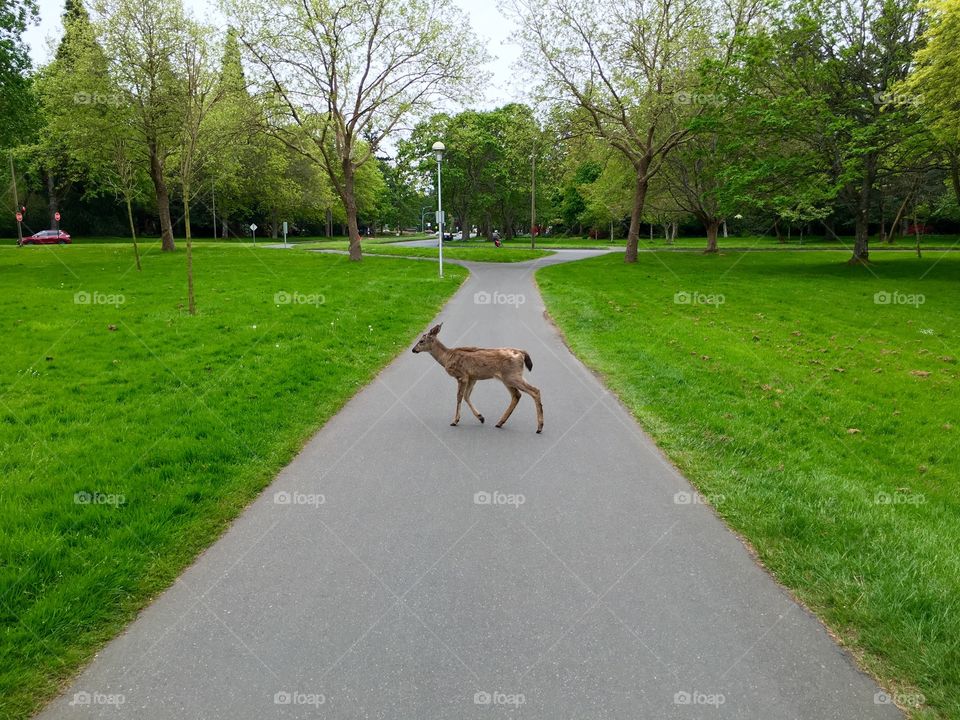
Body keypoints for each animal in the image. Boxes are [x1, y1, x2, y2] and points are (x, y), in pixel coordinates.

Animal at [412, 324, 543, 433]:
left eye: (421, 341)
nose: (413, 349)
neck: (446, 357)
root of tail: (522, 353)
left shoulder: (462, 375)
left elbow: (459, 396)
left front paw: (455, 421)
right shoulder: (472, 378)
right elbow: (466, 396)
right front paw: (481, 417)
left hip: (512, 376)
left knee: (534, 390)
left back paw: (539, 427)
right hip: (509, 377)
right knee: (517, 395)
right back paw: (500, 422)